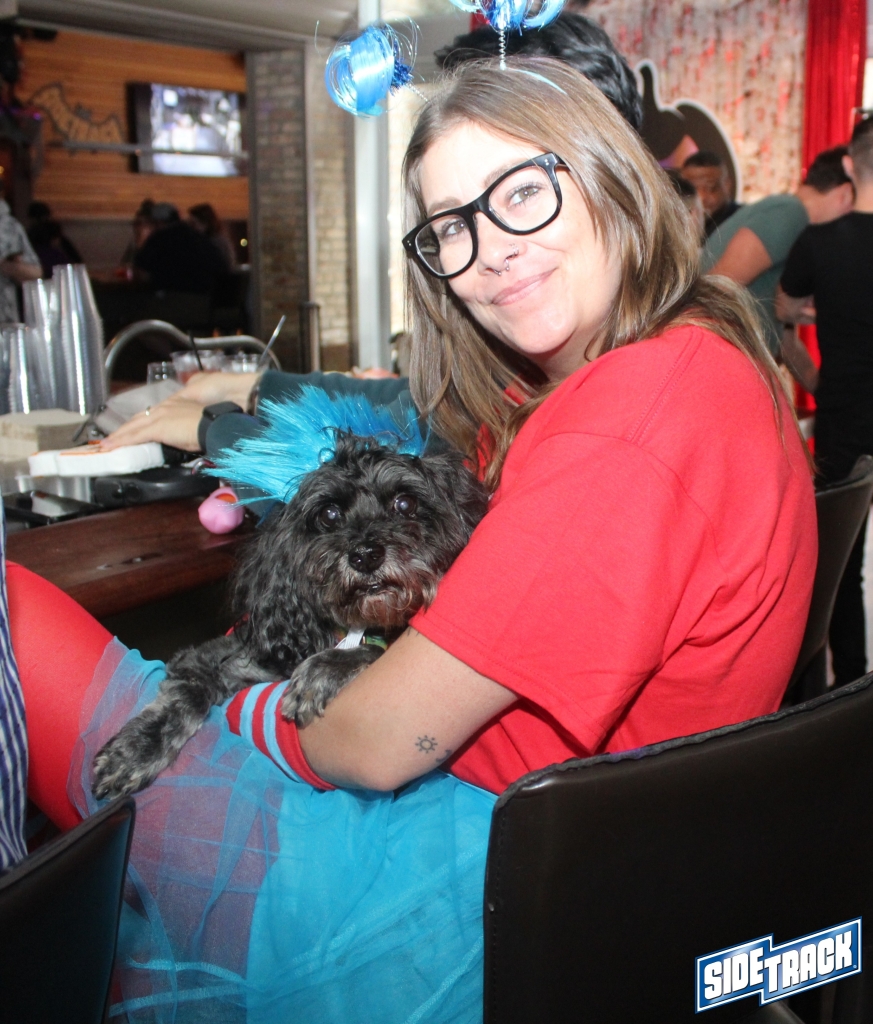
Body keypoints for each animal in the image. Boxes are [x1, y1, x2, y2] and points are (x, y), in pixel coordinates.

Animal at [91, 433, 488, 799]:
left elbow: (372, 649)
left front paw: (323, 669)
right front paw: (136, 750)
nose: (364, 555)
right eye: (328, 514)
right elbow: (186, 694)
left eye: (405, 503)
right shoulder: (216, 657)